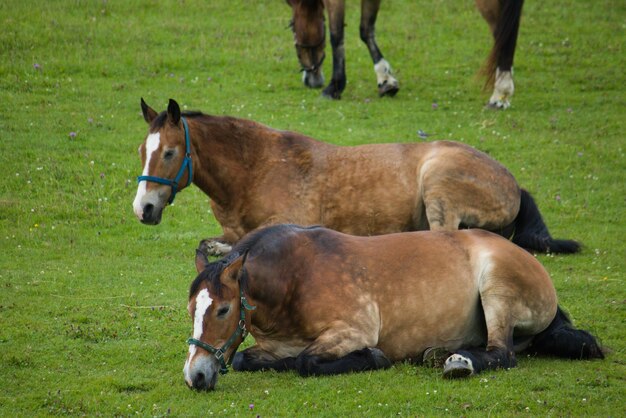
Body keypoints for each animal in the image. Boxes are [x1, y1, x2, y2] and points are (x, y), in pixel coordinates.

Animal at [133, 98, 580, 256]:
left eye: (169, 153)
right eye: (143, 151)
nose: (144, 209)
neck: (256, 169)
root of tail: (514, 185)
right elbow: (210, 244)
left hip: (438, 184)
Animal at [183, 225, 604, 392]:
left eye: (222, 310)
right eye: (192, 310)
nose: (195, 376)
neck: (293, 276)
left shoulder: (354, 329)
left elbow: (306, 361)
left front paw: (373, 357)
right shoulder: (272, 345)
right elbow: (247, 359)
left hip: (496, 288)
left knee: (503, 353)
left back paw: (459, 362)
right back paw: (440, 353)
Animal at [286, 0, 520, 108]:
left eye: (292, 29)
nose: (311, 80)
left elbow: (337, 36)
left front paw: (334, 87)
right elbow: (366, 29)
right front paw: (385, 78)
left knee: (502, 36)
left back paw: (500, 93)